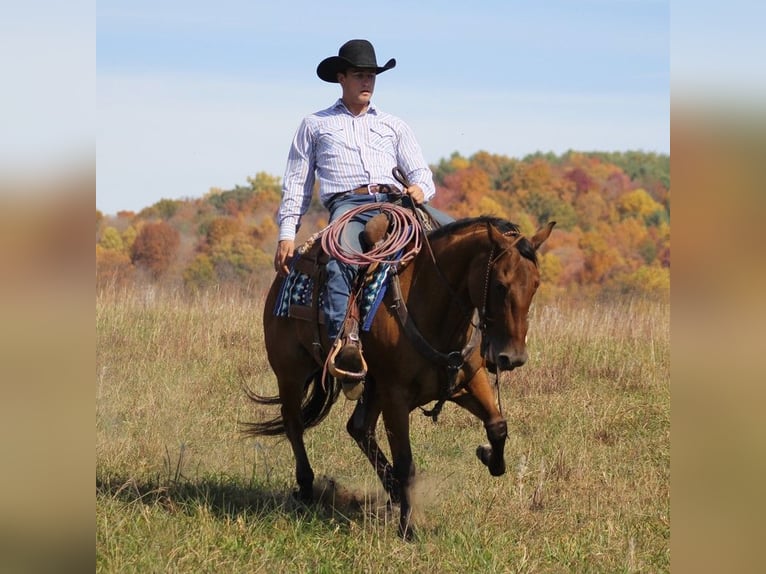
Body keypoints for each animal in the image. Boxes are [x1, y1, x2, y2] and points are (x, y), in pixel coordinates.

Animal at [246, 215, 560, 540]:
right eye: (499, 285)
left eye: (535, 284)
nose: (513, 357)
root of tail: (286, 271)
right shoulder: (395, 396)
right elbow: (406, 463)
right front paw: (408, 528)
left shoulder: (469, 381)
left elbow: (497, 426)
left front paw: (490, 458)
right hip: (291, 373)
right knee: (294, 425)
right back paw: (307, 488)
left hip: (372, 388)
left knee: (359, 428)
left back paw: (392, 492)